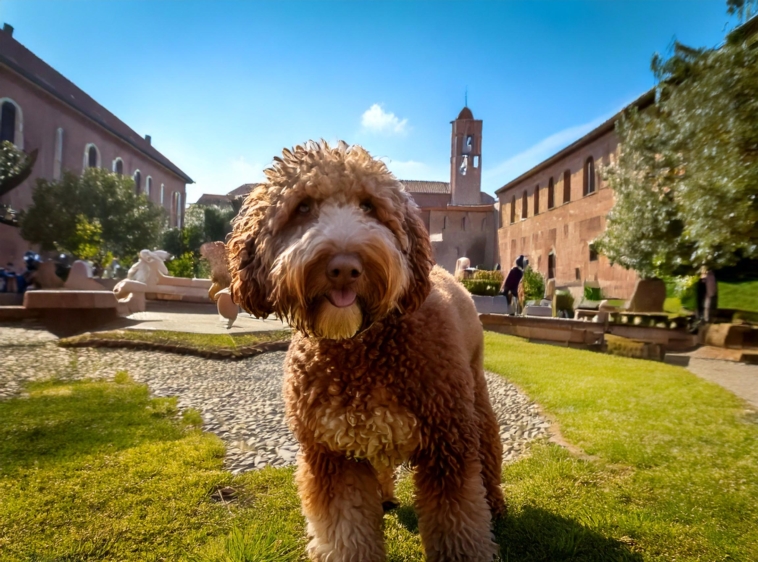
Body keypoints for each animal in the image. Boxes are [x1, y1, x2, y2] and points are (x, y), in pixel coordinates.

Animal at [229, 141, 508, 560]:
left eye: (369, 206)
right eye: (302, 207)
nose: (344, 267)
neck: (360, 350)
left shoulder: (446, 448)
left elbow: (458, 526)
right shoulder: (332, 456)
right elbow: (345, 532)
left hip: (473, 398)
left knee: (488, 448)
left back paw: (496, 502)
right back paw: (386, 495)